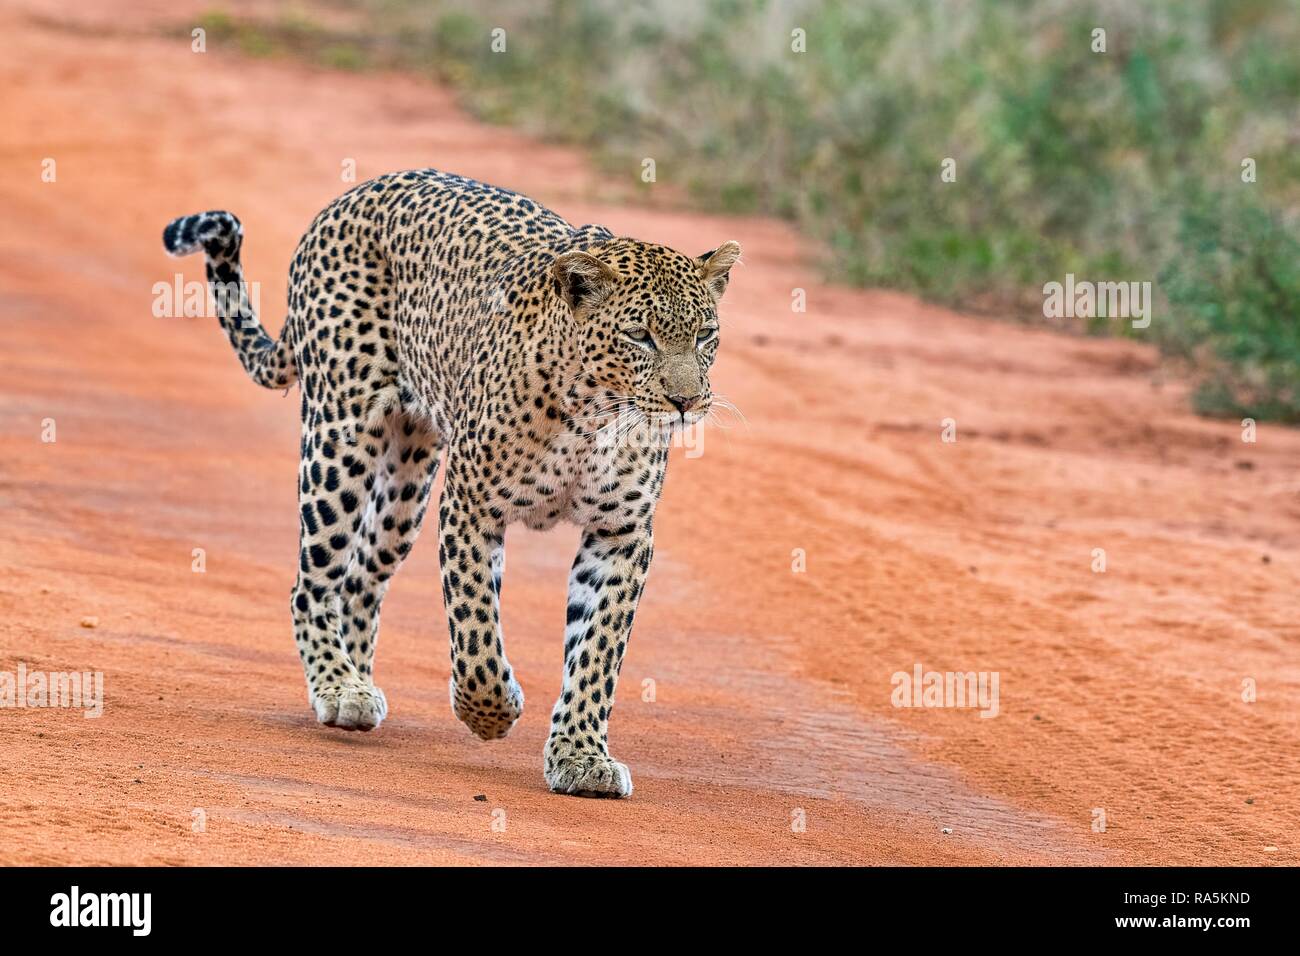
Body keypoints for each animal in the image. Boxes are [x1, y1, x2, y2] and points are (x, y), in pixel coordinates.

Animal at [162, 169, 740, 798]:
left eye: (705, 334)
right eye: (639, 336)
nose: (686, 401)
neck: (594, 414)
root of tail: (350, 195)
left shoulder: (622, 532)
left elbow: (597, 652)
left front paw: (582, 756)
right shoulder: (471, 506)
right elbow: (476, 628)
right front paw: (492, 711)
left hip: (406, 484)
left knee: (359, 579)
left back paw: (357, 682)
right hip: (340, 440)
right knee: (313, 581)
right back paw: (337, 686)